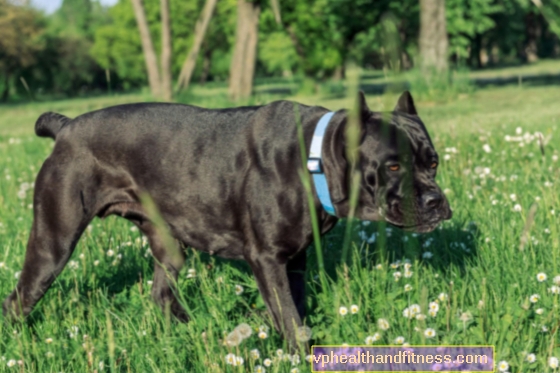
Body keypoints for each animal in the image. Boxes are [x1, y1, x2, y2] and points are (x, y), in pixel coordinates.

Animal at [3, 90, 450, 346]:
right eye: (393, 166)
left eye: (434, 163)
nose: (435, 200)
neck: (317, 159)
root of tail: (66, 128)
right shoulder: (267, 258)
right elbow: (288, 316)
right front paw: (299, 353)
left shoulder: (295, 259)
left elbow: (294, 307)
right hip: (54, 243)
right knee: (18, 299)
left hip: (170, 246)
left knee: (161, 294)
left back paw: (192, 332)